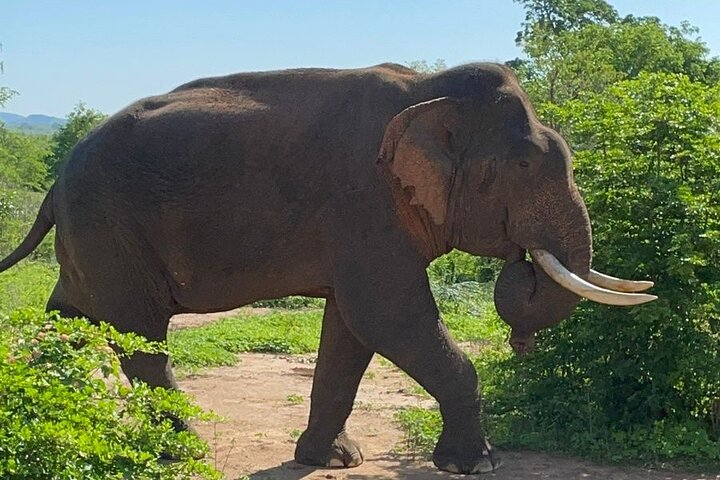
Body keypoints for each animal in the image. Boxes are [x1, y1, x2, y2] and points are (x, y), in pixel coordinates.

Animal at [0, 62, 652, 474]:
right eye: (523, 165)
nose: (520, 339)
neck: (426, 91)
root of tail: (55, 183)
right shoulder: (365, 204)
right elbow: (388, 316)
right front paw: (478, 465)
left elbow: (351, 330)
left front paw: (333, 461)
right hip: (109, 225)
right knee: (137, 332)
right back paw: (180, 453)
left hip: (93, 239)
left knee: (73, 318)